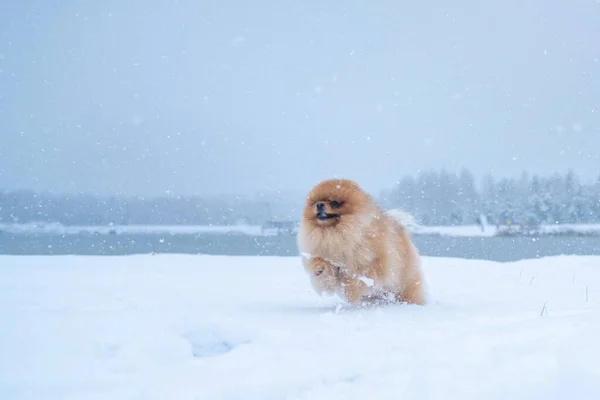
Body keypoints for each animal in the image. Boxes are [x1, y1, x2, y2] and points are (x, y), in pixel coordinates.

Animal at [296, 178, 426, 306]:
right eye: (315, 202)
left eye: (334, 203)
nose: (319, 205)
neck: (333, 233)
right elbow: (323, 268)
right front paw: (319, 268)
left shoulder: (373, 263)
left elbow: (360, 278)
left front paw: (350, 291)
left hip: (405, 285)